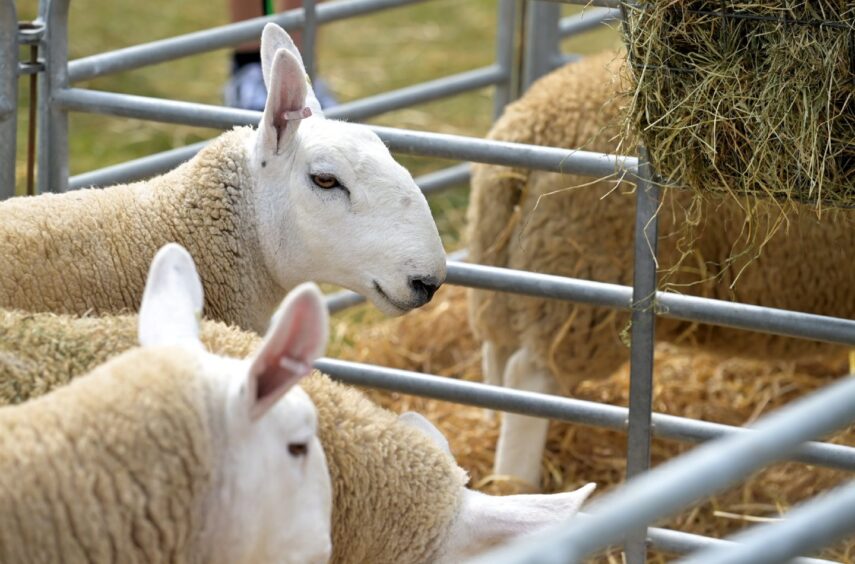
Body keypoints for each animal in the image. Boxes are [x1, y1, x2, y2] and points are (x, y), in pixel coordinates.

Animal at [468, 50, 855, 486]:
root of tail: (526, 125)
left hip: (513, 270)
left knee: (499, 361)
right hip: (582, 286)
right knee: (529, 377)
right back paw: (517, 484)